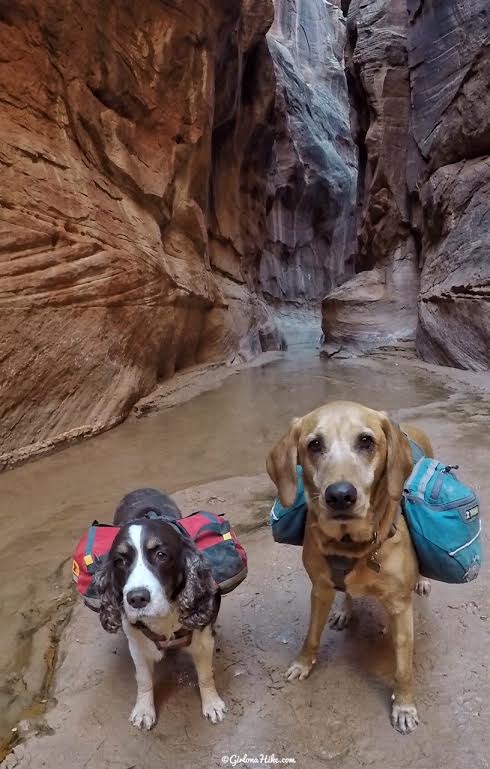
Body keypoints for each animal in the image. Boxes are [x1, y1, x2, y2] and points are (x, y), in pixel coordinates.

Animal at [95, 488, 226, 728]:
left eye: (160, 555)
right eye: (119, 561)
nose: (137, 598)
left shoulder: (203, 639)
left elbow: (205, 675)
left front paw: (212, 704)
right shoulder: (137, 643)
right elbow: (143, 679)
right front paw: (143, 711)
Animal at [268, 402, 432, 732]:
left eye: (366, 441)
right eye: (314, 445)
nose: (340, 495)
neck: (351, 546)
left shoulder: (400, 607)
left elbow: (403, 667)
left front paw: (404, 705)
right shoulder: (320, 589)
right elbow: (311, 635)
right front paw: (303, 663)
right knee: (348, 592)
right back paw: (345, 609)